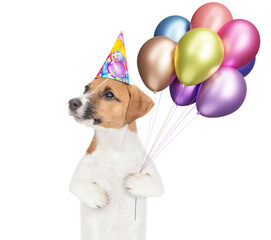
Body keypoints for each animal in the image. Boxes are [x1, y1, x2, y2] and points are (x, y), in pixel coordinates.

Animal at [69, 78, 165, 239]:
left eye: (109, 95)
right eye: (86, 88)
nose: (72, 102)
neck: (112, 149)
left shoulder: (156, 180)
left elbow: (156, 186)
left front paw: (133, 181)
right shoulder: (78, 175)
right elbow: (76, 185)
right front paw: (97, 197)